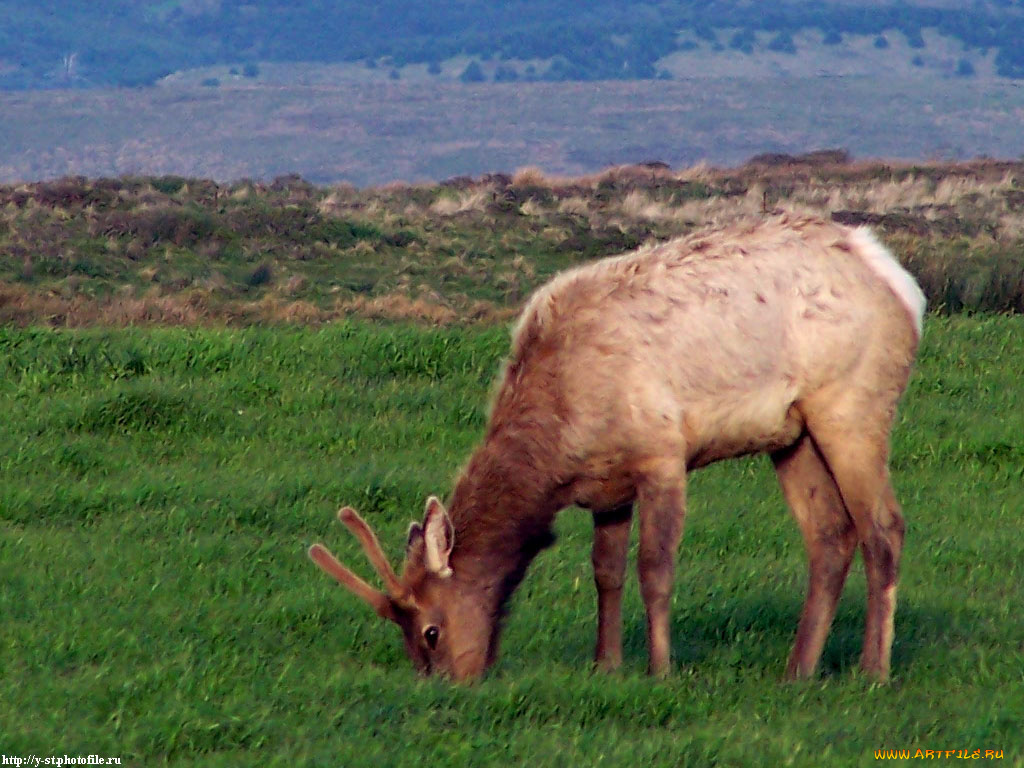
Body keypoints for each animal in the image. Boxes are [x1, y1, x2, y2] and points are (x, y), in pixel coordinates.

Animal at [307, 214, 925, 684]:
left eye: (430, 630)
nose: (446, 684)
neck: (562, 441)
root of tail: (900, 284)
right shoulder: (607, 487)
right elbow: (606, 572)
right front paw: (606, 664)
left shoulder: (662, 455)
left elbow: (655, 569)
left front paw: (659, 670)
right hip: (791, 434)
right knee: (830, 534)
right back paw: (798, 670)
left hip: (853, 403)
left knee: (883, 527)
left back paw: (873, 671)